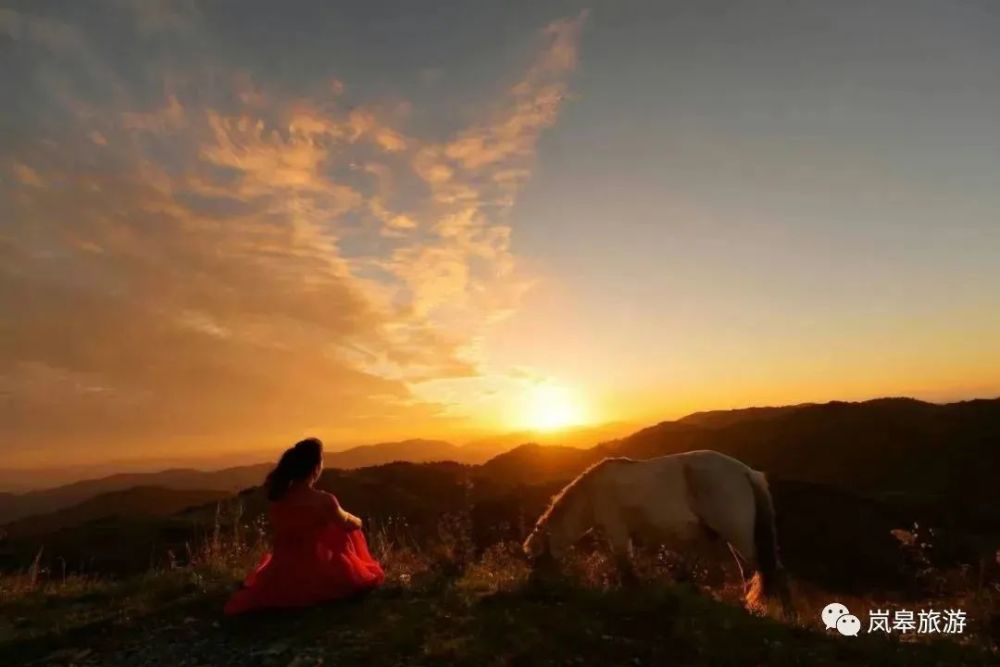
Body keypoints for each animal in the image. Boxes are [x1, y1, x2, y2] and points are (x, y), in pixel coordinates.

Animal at [524, 452, 788, 612]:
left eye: (537, 558)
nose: (534, 589)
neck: (592, 493)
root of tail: (747, 473)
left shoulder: (616, 529)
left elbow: (624, 566)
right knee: (754, 572)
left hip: (741, 537)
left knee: (771, 571)